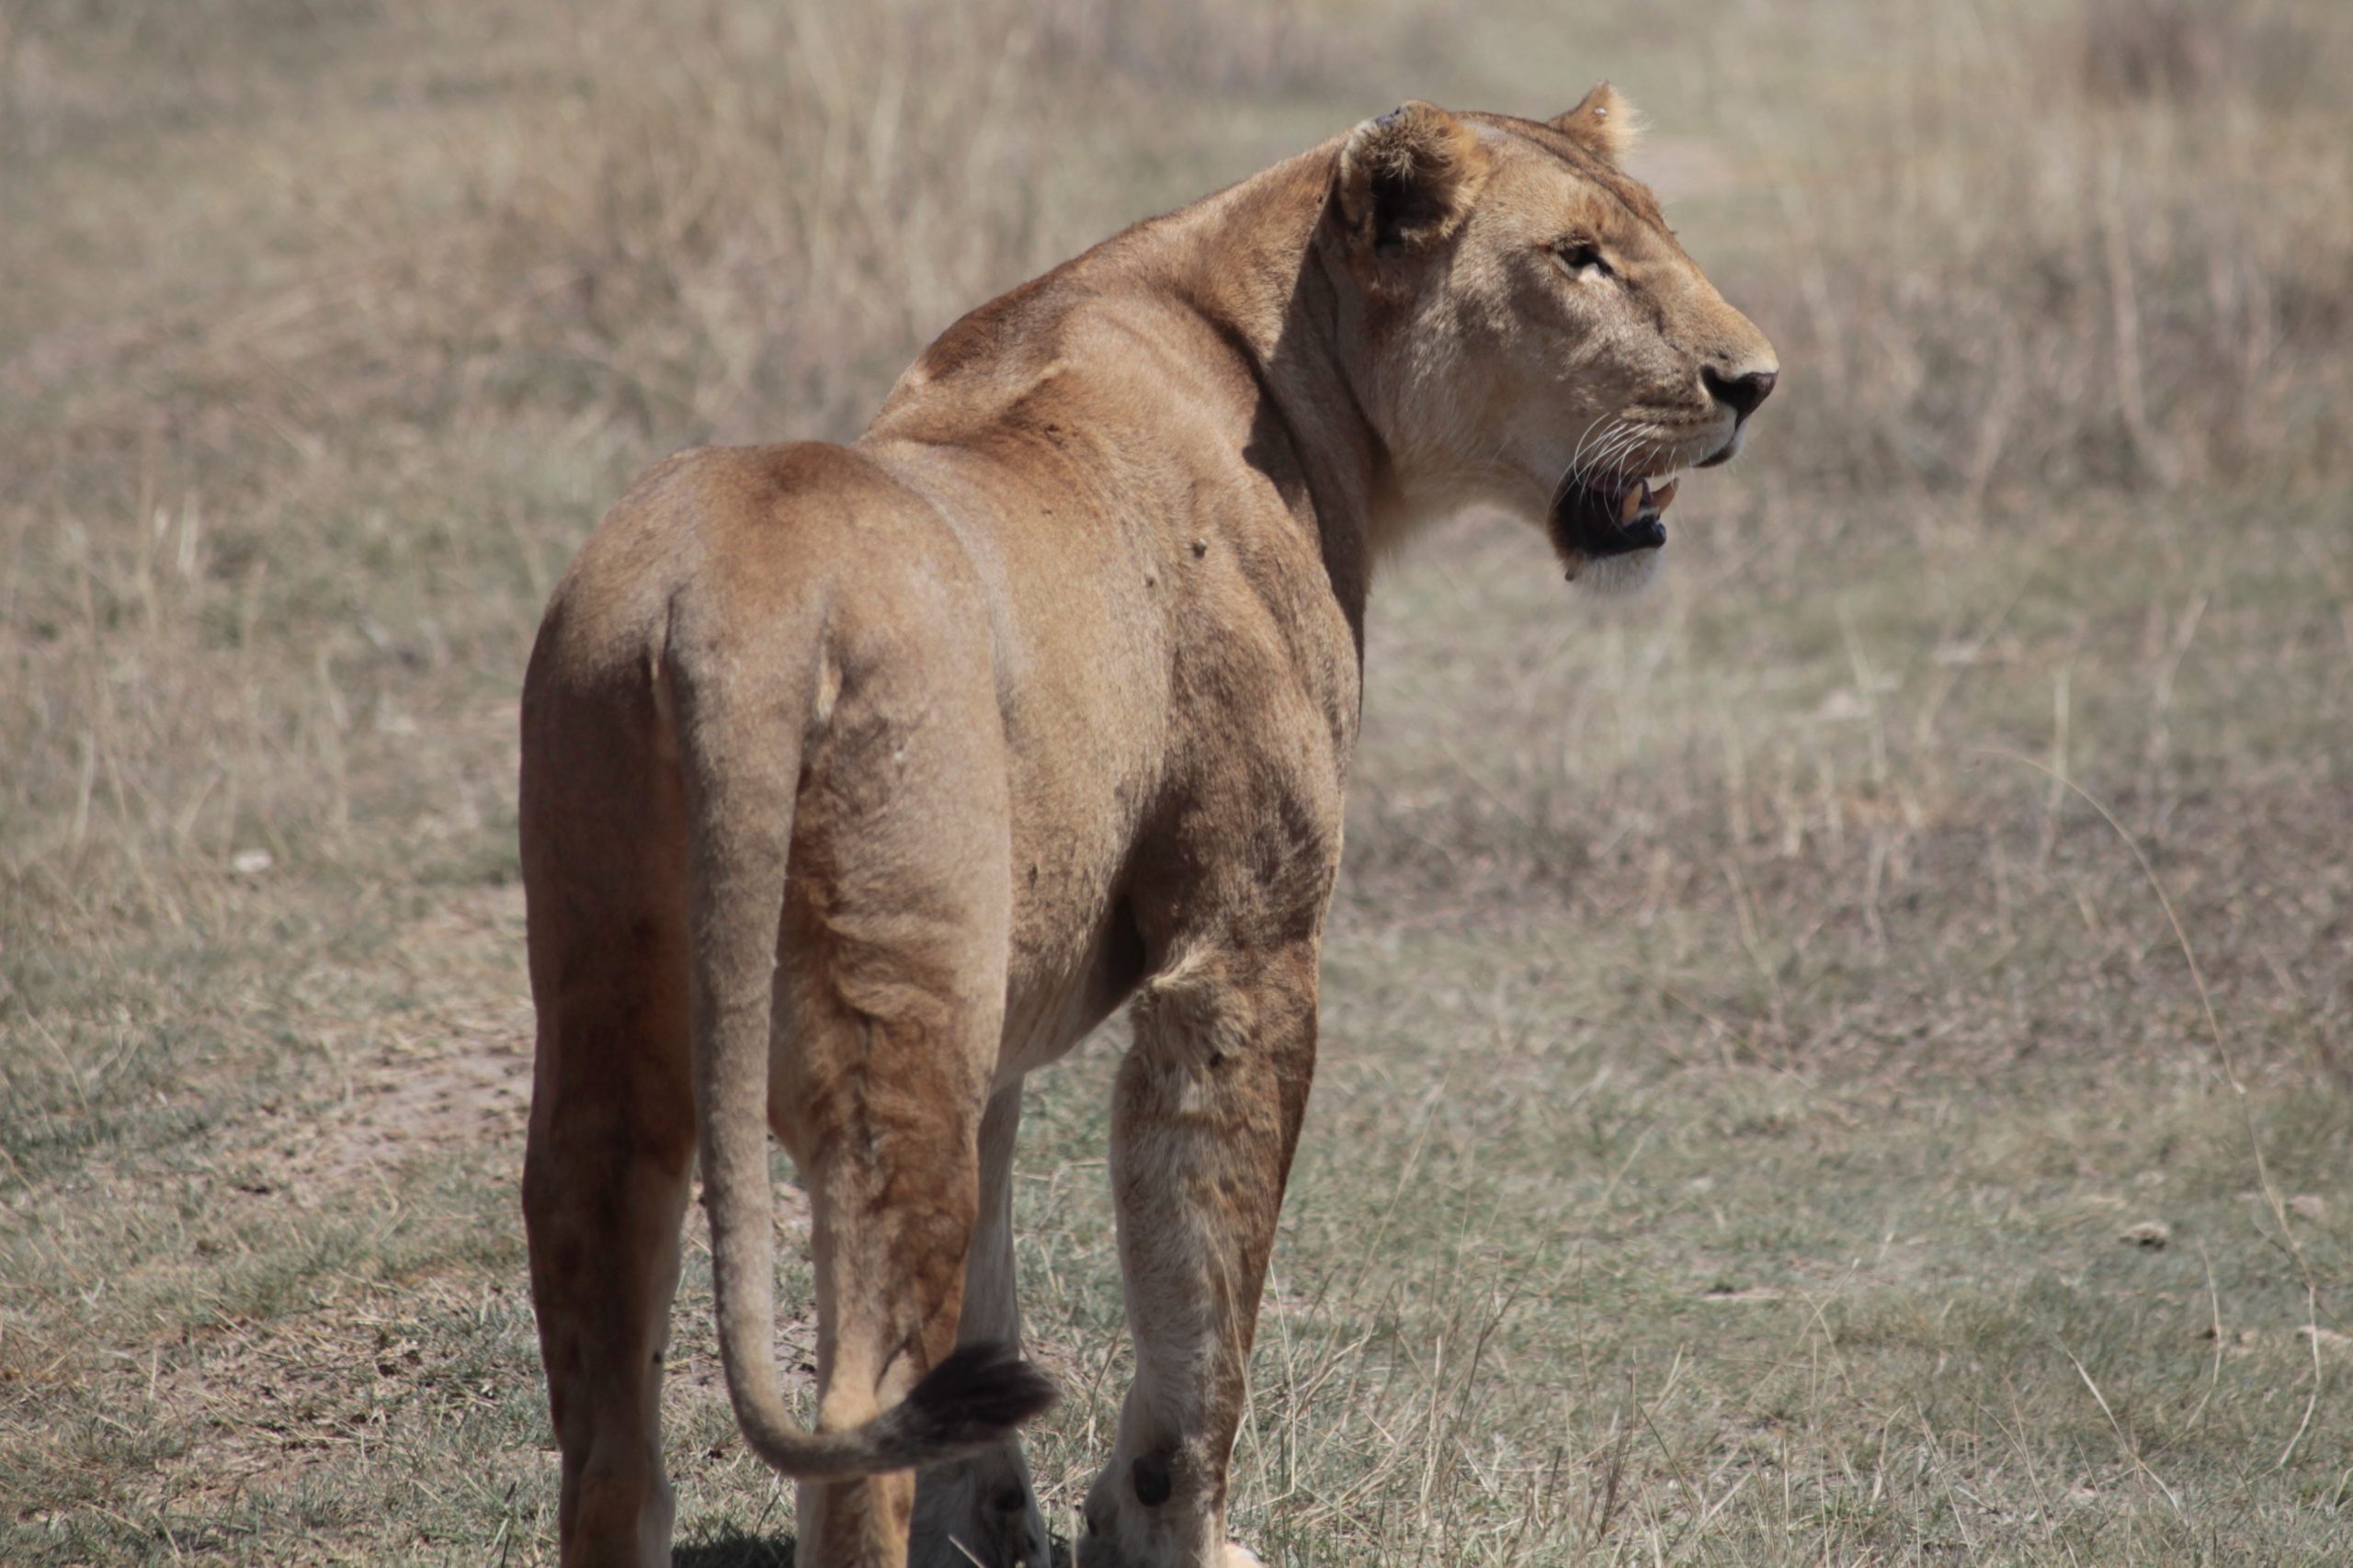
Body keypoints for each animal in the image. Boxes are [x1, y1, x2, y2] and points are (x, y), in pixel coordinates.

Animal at [519, 87, 1775, 1568]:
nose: (1755, 383)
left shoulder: (1005, 1020)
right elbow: (1205, 1292)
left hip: (607, 1047)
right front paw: (1170, 1531)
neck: (1278, 343)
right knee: (850, 1447)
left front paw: (992, 1524)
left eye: (1656, 234)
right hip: (893, 1047)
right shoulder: (1240, 948)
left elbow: (1000, 1281)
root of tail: (738, 615)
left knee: (614, 1454)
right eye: (1578, 259)